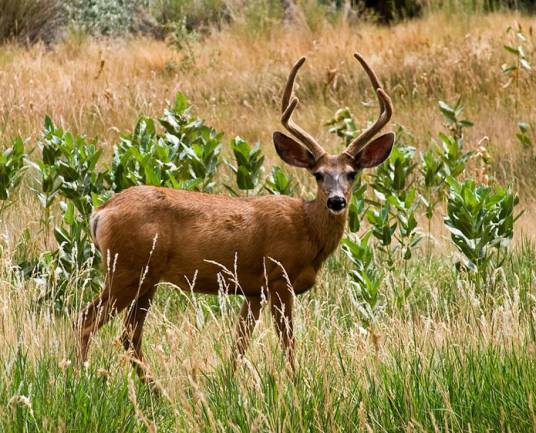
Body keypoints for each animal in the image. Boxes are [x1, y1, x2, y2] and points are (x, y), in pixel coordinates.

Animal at [76, 52, 394, 380]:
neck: (307, 229)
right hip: (126, 270)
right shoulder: (278, 277)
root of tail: (101, 212)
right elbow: (287, 342)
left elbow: (239, 345)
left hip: (145, 277)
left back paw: (155, 388)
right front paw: (297, 383)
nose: (336, 200)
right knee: (86, 319)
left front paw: (229, 383)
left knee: (129, 334)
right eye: (318, 174)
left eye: (352, 174)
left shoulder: (254, 290)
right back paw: (80, 376)